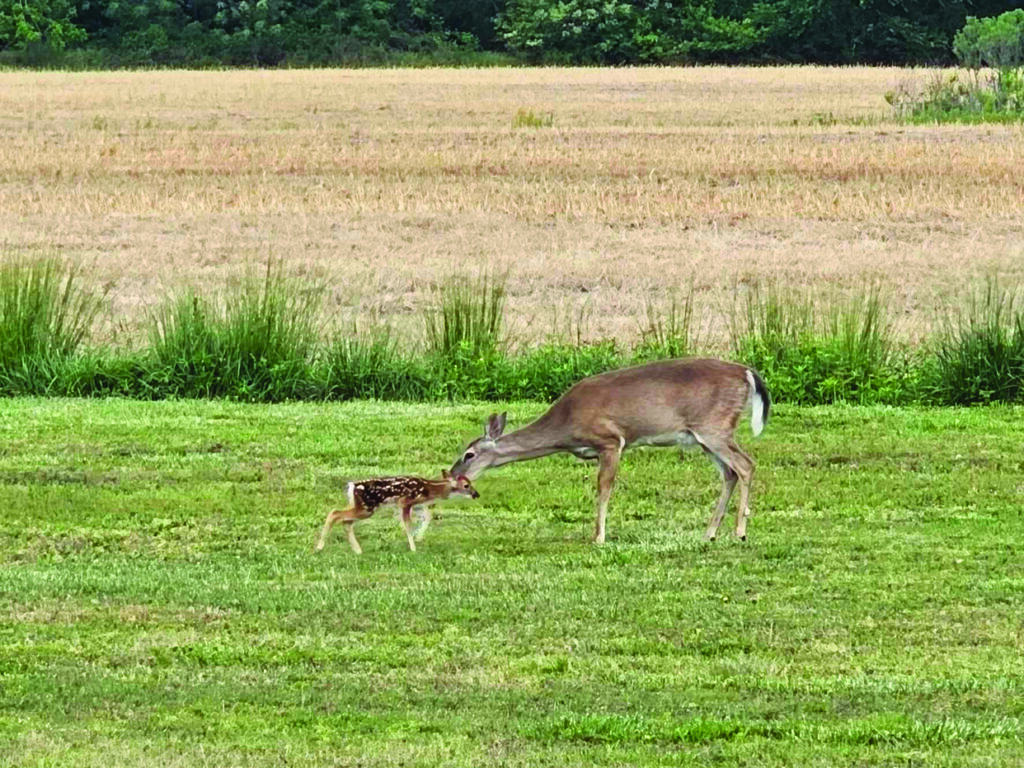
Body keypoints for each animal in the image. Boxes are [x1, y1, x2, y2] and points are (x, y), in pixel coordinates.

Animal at [448, 360, 770, 544]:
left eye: (469, 454)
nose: (452, 475)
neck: (565, 427)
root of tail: (748, 373)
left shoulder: (611, 441)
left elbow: (604, 488)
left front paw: (599, 537)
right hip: (704, 435)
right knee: (729, 473)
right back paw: (709, 533)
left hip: (714, 427)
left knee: (746, 465)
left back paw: (740, 532)